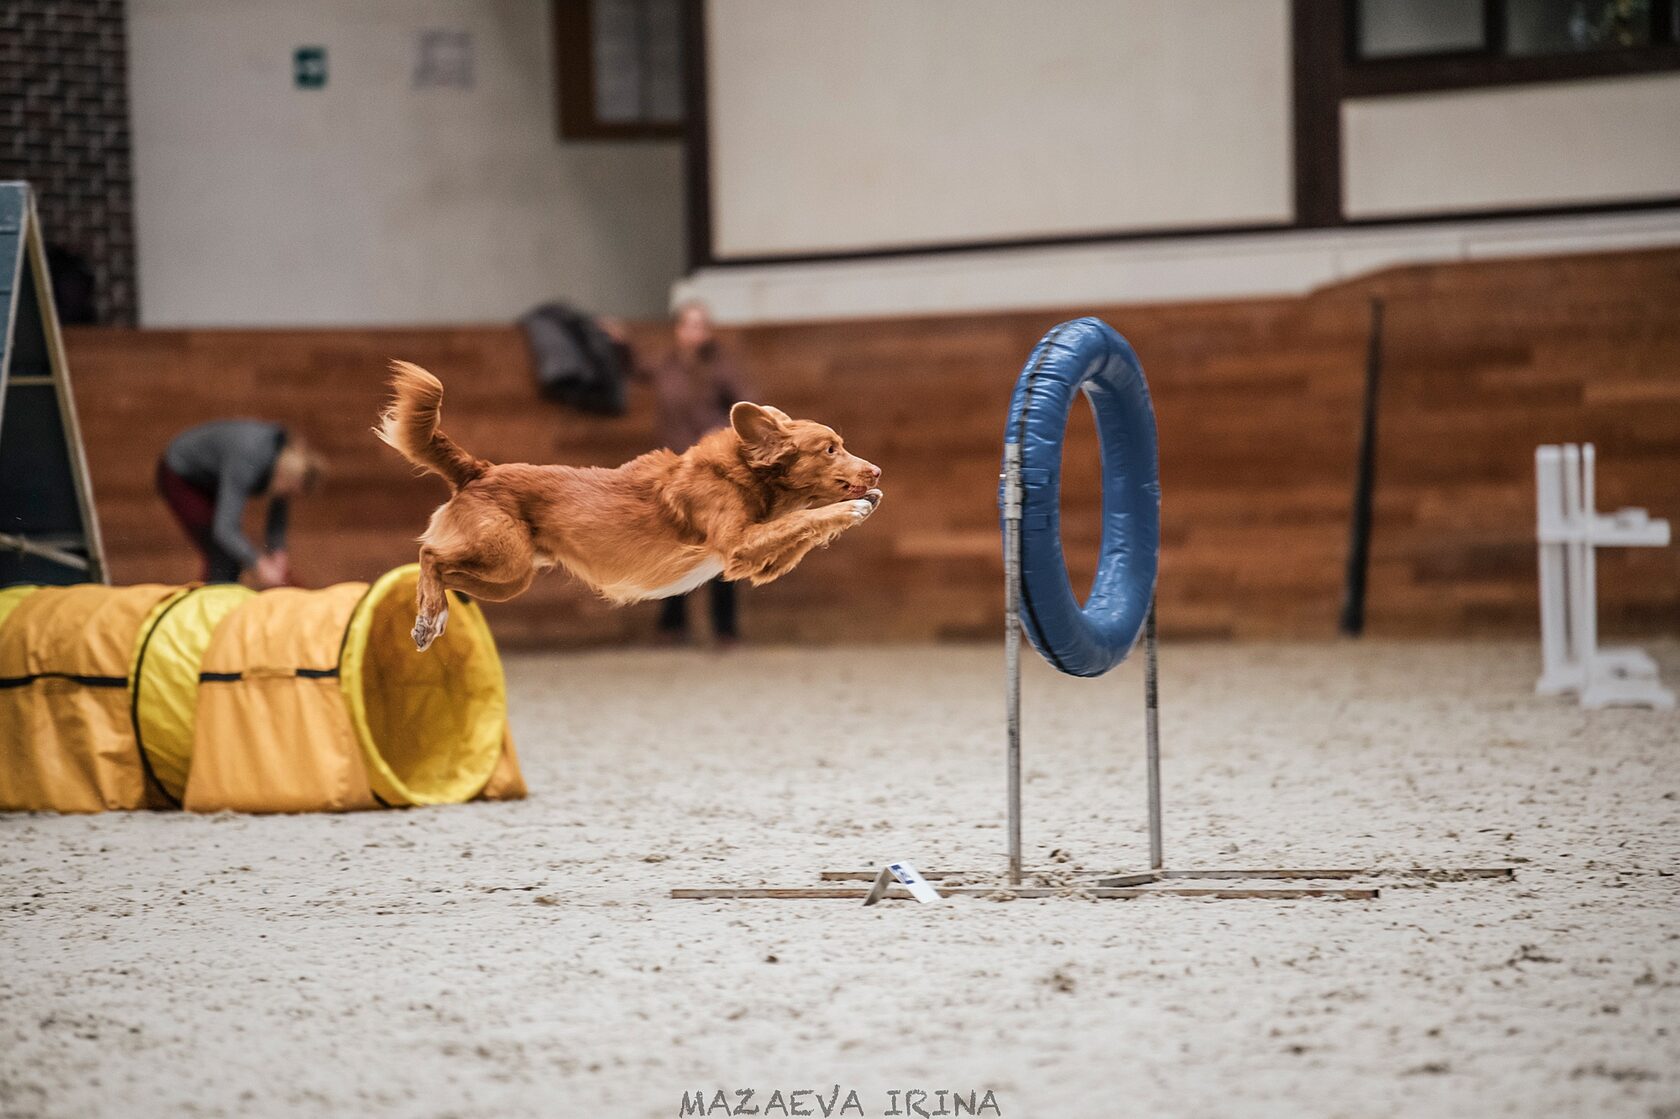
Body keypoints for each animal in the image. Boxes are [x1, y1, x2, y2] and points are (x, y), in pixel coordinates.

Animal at [376, 361, 887, 648]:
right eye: (830, 449)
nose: (877, 472)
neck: (746, 473)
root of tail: (479, 470)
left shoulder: (755, 564)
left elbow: (803, 528)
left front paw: (866, 503)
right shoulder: (739, 544)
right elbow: (811, 517)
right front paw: (851, 509)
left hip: (510, 578)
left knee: (444, 567)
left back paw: (435, 616)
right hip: (502, 555)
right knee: (429, 555)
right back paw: (429, 617)